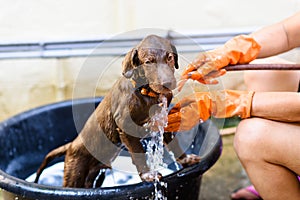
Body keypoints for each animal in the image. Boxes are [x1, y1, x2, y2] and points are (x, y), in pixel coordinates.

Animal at [34, 34, 200, 188]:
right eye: (148, 62)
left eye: (170, 58)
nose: (168, 83)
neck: (146, 93)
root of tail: (70, 146)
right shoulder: (125, 126)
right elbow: (139, 154)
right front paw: (148, 175)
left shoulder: (162, 121)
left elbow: (174, 143)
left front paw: (186, 159)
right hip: (75, 173)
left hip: (95, 175)